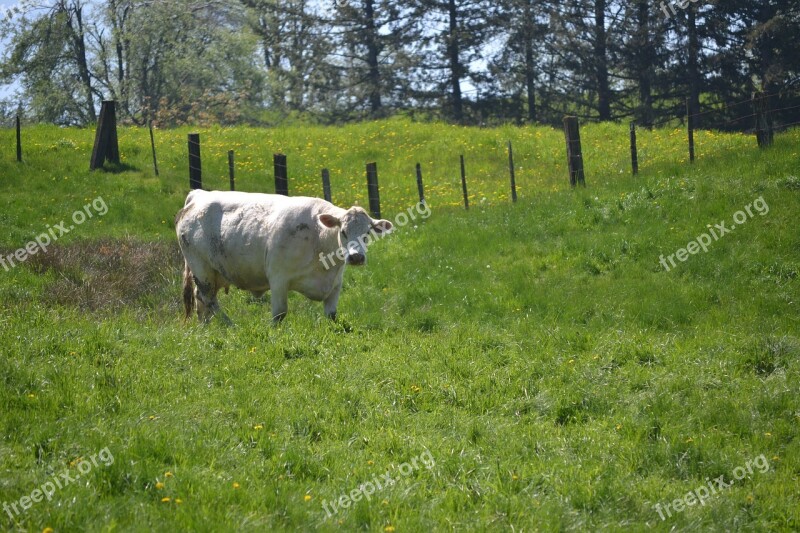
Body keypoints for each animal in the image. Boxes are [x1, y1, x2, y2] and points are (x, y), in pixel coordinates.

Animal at [175, 189, 394, 322]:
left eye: (367, 233)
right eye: (343, 232)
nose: (356, 257)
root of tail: (198, 195)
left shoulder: (335, 285)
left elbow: (331, 315)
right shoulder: (278, 279)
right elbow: (279, 314)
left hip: (212, 273)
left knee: (202, 300)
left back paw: (207, 329)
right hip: (201, 268)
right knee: (208, 298)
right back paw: (230, 325)